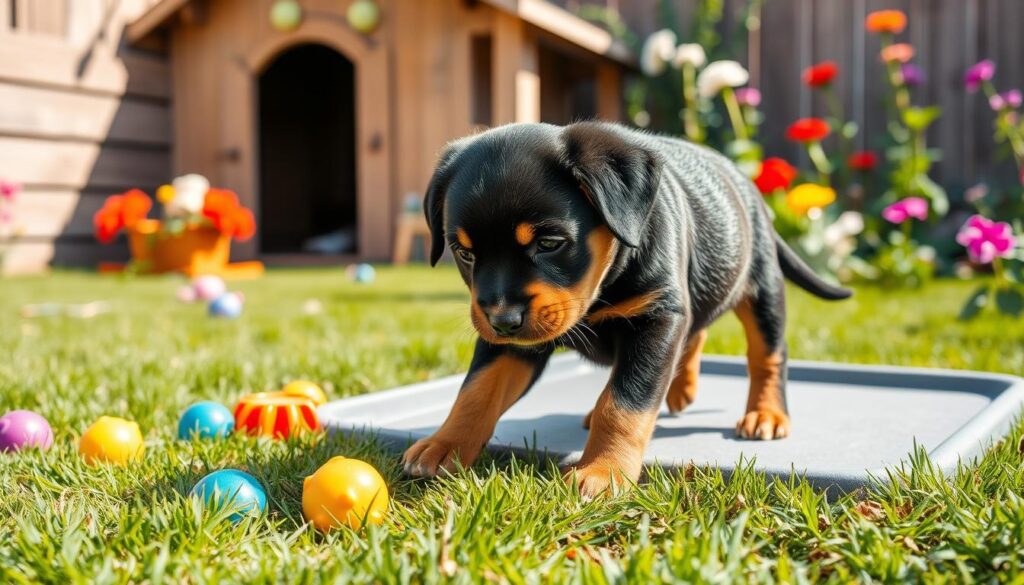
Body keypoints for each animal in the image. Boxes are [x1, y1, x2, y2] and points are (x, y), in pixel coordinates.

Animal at [403, 122, 851, 493]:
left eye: (549, 243)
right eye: (465, 253)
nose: (502, 320)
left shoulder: (657, 318)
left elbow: (623, 403)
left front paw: (603, 470)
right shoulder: (509, 345)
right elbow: (475, 392)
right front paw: (444, 444)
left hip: (762, 288)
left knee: (767, 354)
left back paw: (766, 414)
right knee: (697, 328)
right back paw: (681, 387)